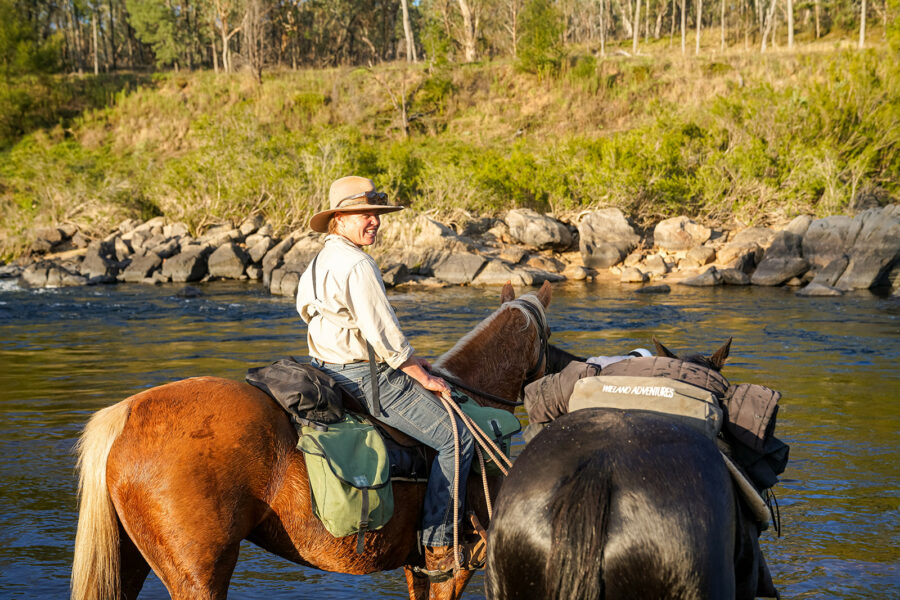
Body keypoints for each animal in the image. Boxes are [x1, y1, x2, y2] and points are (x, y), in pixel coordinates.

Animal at [71, 280, 552, 600]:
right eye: (547, 334)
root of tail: (128, 413)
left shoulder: (417, 568)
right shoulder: (454, 566)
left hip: (130, 562)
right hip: (199, 575)